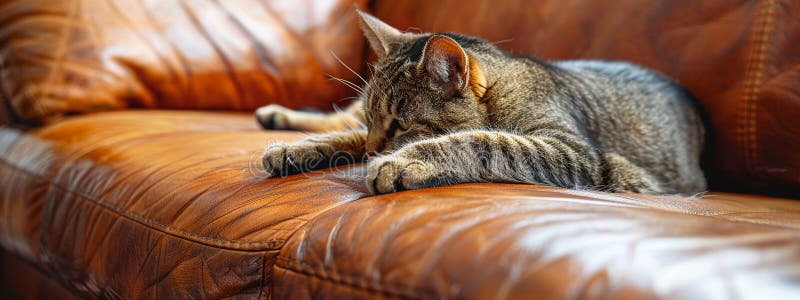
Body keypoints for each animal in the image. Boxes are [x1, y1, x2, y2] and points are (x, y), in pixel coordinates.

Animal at [256, 8, 708, 196]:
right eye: (375, 120)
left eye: (401, 124)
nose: (372, 149)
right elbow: (347, 135)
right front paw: (301, 149)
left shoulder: (574, 152)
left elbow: (486, 141)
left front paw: (404, 160)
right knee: (338, 118)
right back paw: (278, 117)